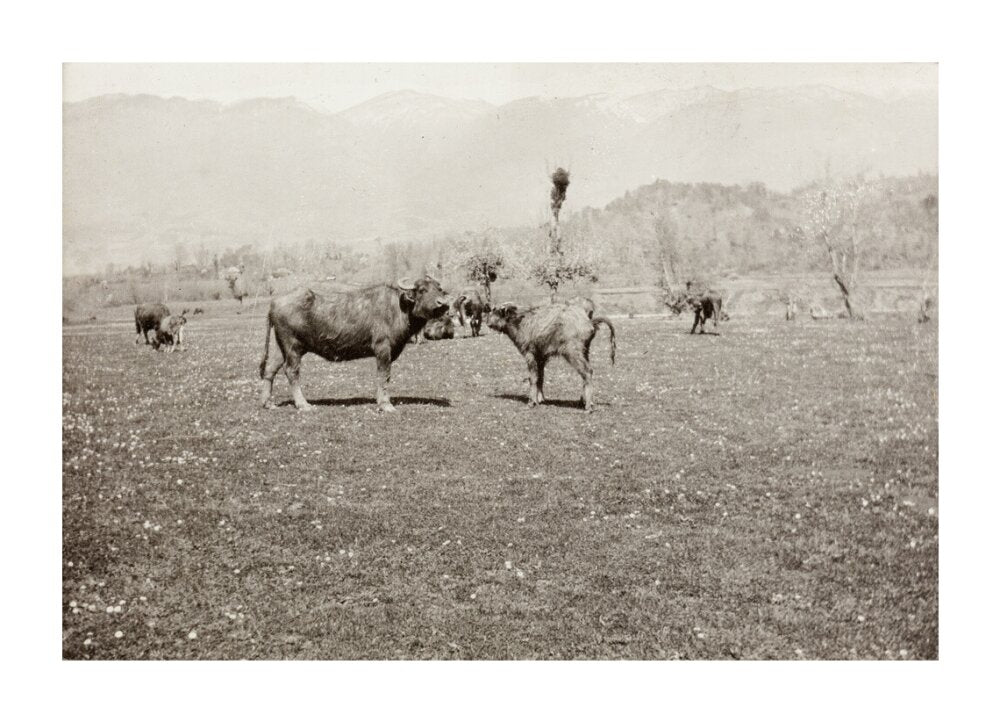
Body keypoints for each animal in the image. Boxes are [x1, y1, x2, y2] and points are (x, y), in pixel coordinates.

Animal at [259, 275, 450, 412]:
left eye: (439, 289)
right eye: (422, 290)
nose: (443, 304)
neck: (399, 308)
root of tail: (275, 302)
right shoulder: (383, 348)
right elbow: (384, 375)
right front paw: (385, 404)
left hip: (279, 346)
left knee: (270, 369)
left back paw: (268, 403)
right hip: (293, 346)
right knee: (292, 371)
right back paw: (303, 404)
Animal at [485, 302, 616, 412]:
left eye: (496, 311)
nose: (487, 322)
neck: (521, 321)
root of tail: (589, 321)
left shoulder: (530, 354)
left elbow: (533, 378)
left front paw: (531, 402)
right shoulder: (541, 357)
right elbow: (540, 377)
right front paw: (540, 399)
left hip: (573, 353)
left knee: (587, 371)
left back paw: (588, 406)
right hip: (585, 352)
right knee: (586, 373)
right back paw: (583, 401)